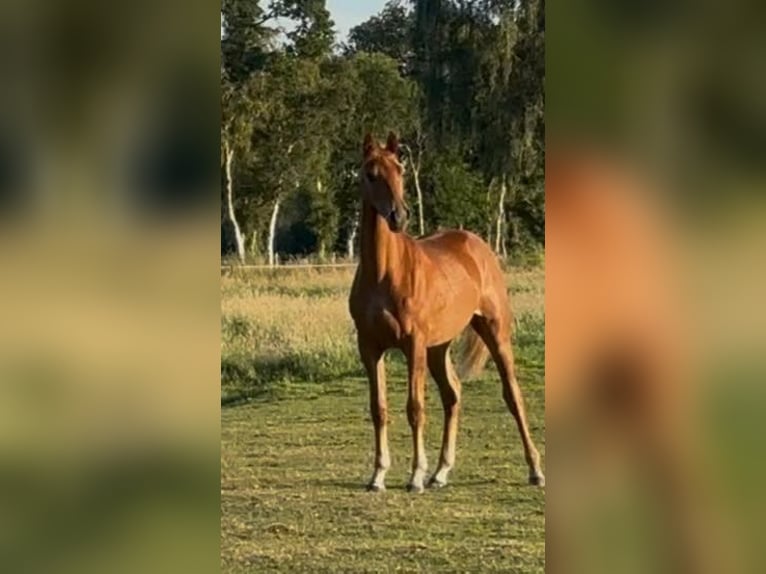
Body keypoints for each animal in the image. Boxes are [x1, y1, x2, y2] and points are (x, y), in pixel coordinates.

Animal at [348, 132, 545, 492]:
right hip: (438, 348)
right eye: (370, 174)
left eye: (400, 170)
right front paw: (378, 475)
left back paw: (535, 470)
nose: (398, 216)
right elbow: (379, 409)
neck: (384, 272)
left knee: (513, 396)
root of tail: (477, 245)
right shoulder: (370, 347)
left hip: (494, 332)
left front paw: (414, 476)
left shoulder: (412, 344)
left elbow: (415, 408)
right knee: (453, 395)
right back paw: (441, 472)